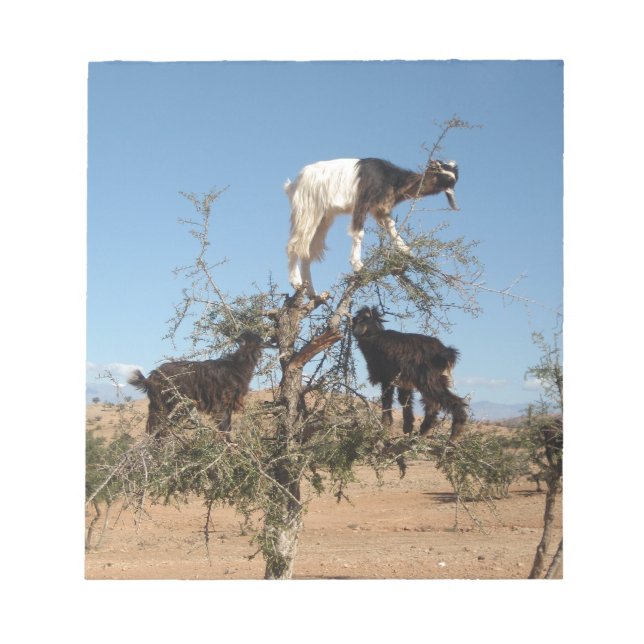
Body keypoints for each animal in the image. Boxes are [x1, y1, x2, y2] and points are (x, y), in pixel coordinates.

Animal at [128, 331, 268, 436]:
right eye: (257, 341)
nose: (269, 344)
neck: (236, 365)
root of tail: (150, 378)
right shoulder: (221, 405)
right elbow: (225, 428)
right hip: (162, 406)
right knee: (155, 429)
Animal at [285, 157, 459, 296]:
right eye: (439, 170)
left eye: (453, 177)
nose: (450, 189)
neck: (393, 179)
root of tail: (294, 183)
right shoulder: (363, 201)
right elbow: (359, 233)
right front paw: (357, 265)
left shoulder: (380, 208)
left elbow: (391, 225)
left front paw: (405, 250)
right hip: (308, 209)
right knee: (294, 245)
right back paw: (296, 282)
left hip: (324, 217)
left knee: (307, 251)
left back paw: (311, 292)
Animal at [351, 306, 468, 441]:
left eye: (365, 317)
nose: (354, 321)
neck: (375, 337)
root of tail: (445, 351)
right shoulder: (403, 381)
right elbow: (405, 401)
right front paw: (408, 428)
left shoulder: (387, 378)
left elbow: (387, 401)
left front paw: (385, 425)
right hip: (436, 380)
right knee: (432, 406)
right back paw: (422, 432)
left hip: (429, 381)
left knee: (450, 402)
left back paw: (454, 435)